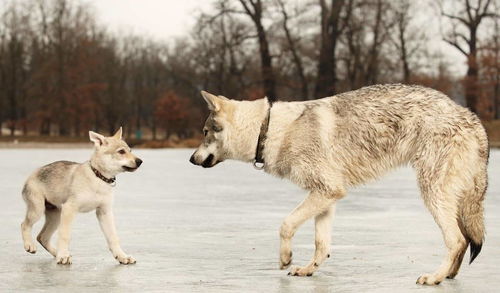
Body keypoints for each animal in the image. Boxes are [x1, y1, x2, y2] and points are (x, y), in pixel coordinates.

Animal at [21, 126, 143, 264]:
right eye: (121, 151)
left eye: (130, 150)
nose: (140, 161)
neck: (98, 178)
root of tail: (31, 175)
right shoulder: (70, 209)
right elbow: (65, 235)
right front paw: (63, 256)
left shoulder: (104, 212)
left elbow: (113, 237)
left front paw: (122, 256)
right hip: (38, 210)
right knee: (24, 225)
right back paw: (30, 246)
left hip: (56, 217)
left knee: (42, 237)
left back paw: (56, 253)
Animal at [190, 83, 488, 284]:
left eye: (204, 133)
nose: (191, 159)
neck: (269, 130)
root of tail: (471, 118)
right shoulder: (326, 195)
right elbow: (322, 244)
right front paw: (308, 269)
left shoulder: (326, 192)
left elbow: (286, 225)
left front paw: (286, 258)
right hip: (448, 198)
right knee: (463, 241)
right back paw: (448, 275)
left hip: (432, 193)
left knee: (456, 240)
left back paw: (434, 277)